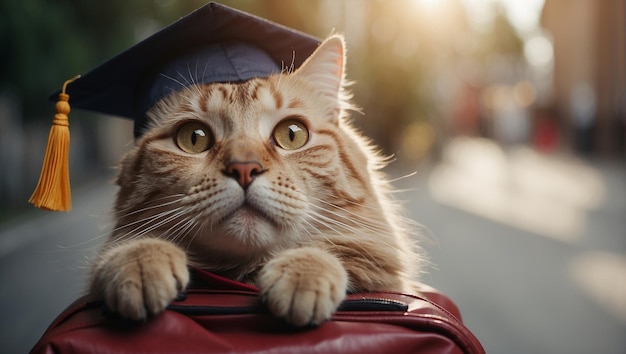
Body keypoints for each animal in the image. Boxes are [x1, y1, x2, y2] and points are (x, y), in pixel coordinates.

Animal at [89, 36, 424, 326]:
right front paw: (139, 262)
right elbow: (128, 247)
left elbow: (336, 250)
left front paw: (303, 271)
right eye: (194, 138)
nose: (244, 168)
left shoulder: (377, 261)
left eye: (292, 134)